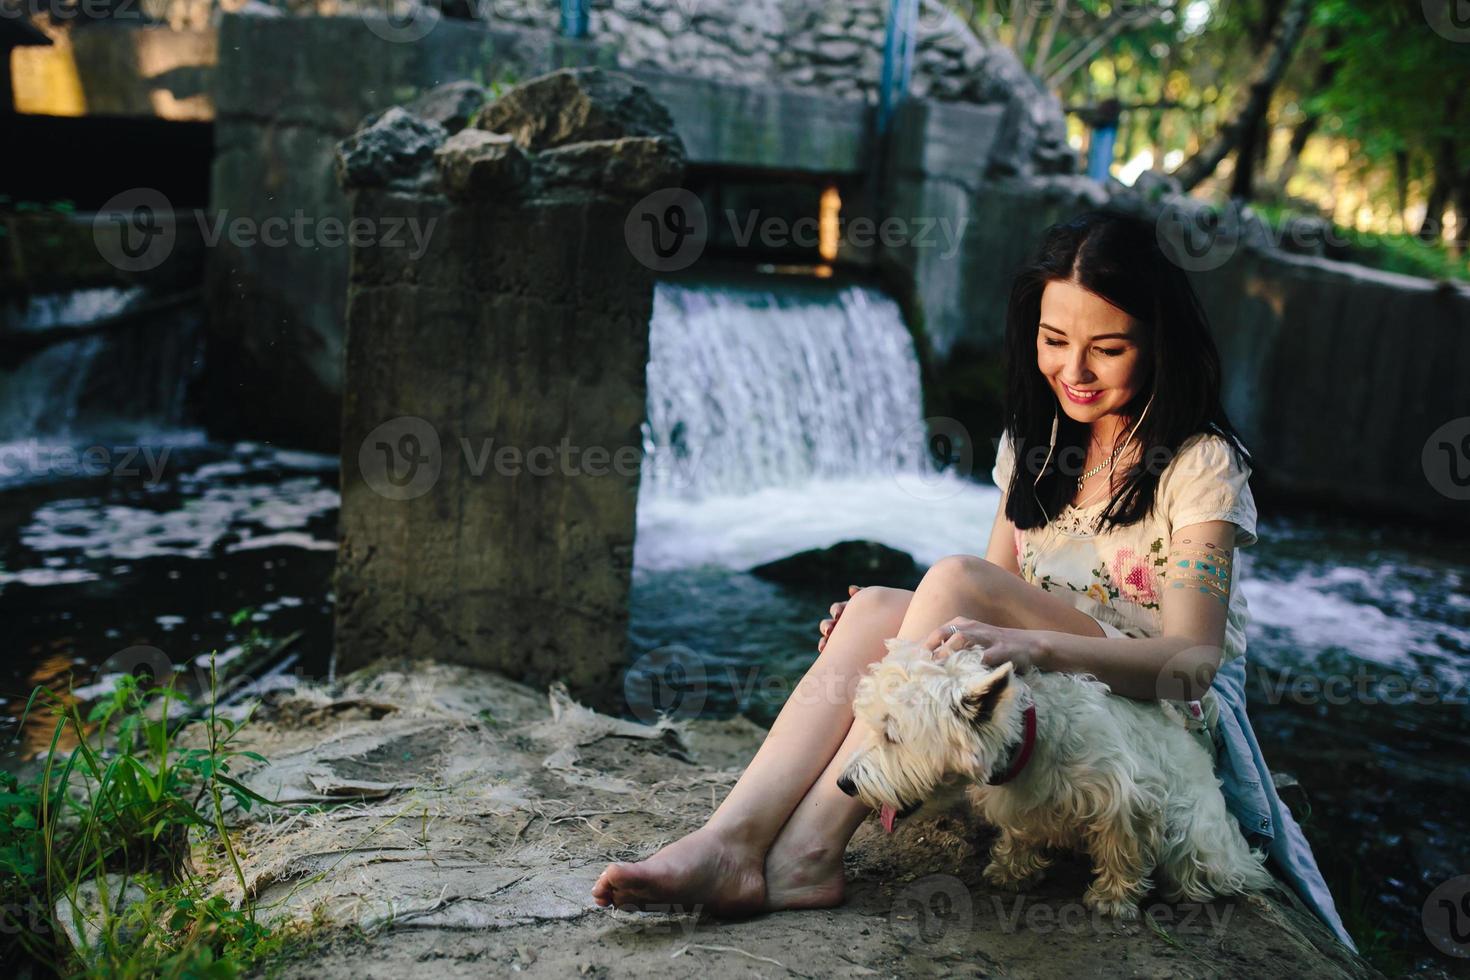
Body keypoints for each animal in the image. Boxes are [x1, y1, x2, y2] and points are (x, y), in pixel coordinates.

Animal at [840, 637, 1275, 922]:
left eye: (892, 735)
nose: (845, 784)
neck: (1029, 740)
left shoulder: (1125, 796)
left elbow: (1123, 845)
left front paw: (1113, 899)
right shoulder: (1019, 802)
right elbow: (1019, 834)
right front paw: (1011, 871)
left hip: (1195, 831)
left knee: (1205, 867)